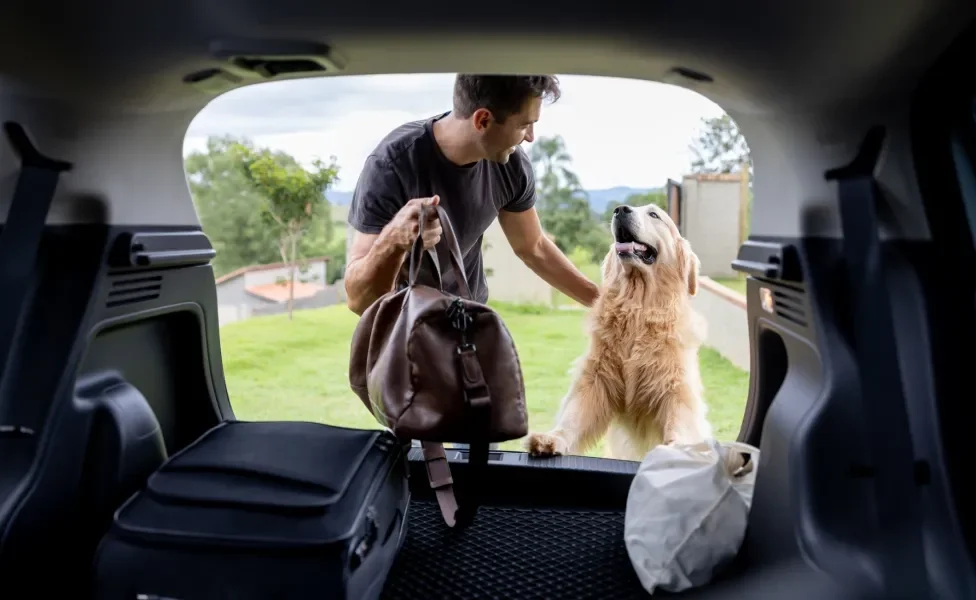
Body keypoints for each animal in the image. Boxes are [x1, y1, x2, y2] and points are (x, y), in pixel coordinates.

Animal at [528, 204, 716, 462]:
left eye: (654, 214)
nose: (620, 209)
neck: (638, 306)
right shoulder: (596, 378)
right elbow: (573, 417)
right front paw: (552, 439)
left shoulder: (675, 386)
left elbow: (680, 422)